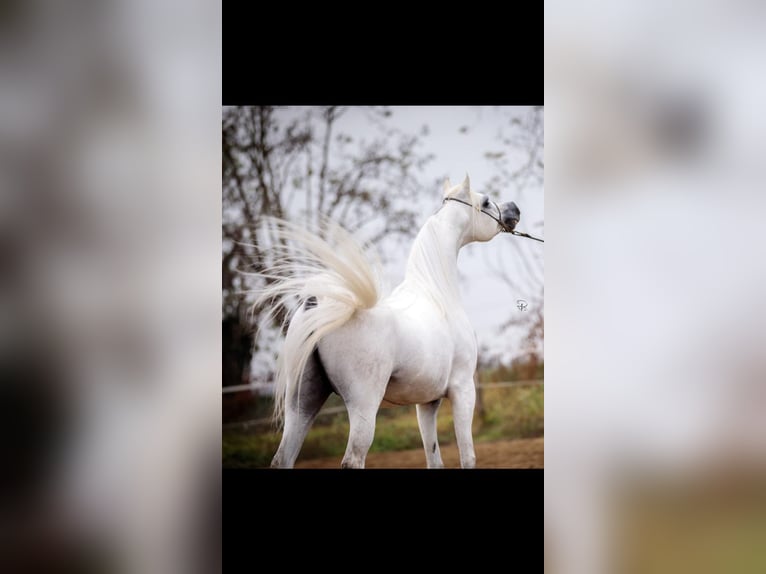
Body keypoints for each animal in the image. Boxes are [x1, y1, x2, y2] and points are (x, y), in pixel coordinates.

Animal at [252, 174, 521, 468]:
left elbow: (434, 459)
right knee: (352, 459)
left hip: (301, 404)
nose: (514, 209)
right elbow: (467, 456)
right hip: (364, 406)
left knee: (282, 458)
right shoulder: (463, 391)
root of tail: (318, 305)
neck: (437, 294)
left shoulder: (427, 403)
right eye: (485, 201)